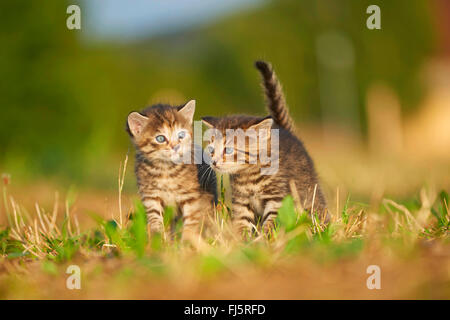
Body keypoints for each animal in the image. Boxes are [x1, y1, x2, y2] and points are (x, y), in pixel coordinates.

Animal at [126, 100, 218, 240]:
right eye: (160, 138)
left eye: (181, 135)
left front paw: (187, 241)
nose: (175, 146)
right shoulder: (151, 196)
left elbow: (191, 221)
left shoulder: (191, 196)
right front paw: (158, 239)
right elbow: (155, 218)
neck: (166, 169)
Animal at [203, 61, 326, 236]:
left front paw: (265, 239)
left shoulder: (278, 200)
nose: (213, 162)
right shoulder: (242, 202)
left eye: (228, 150)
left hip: (309, 190)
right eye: (211, 150)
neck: (249, 176)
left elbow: (272, 223)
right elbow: (242, 222)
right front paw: (240, 239)